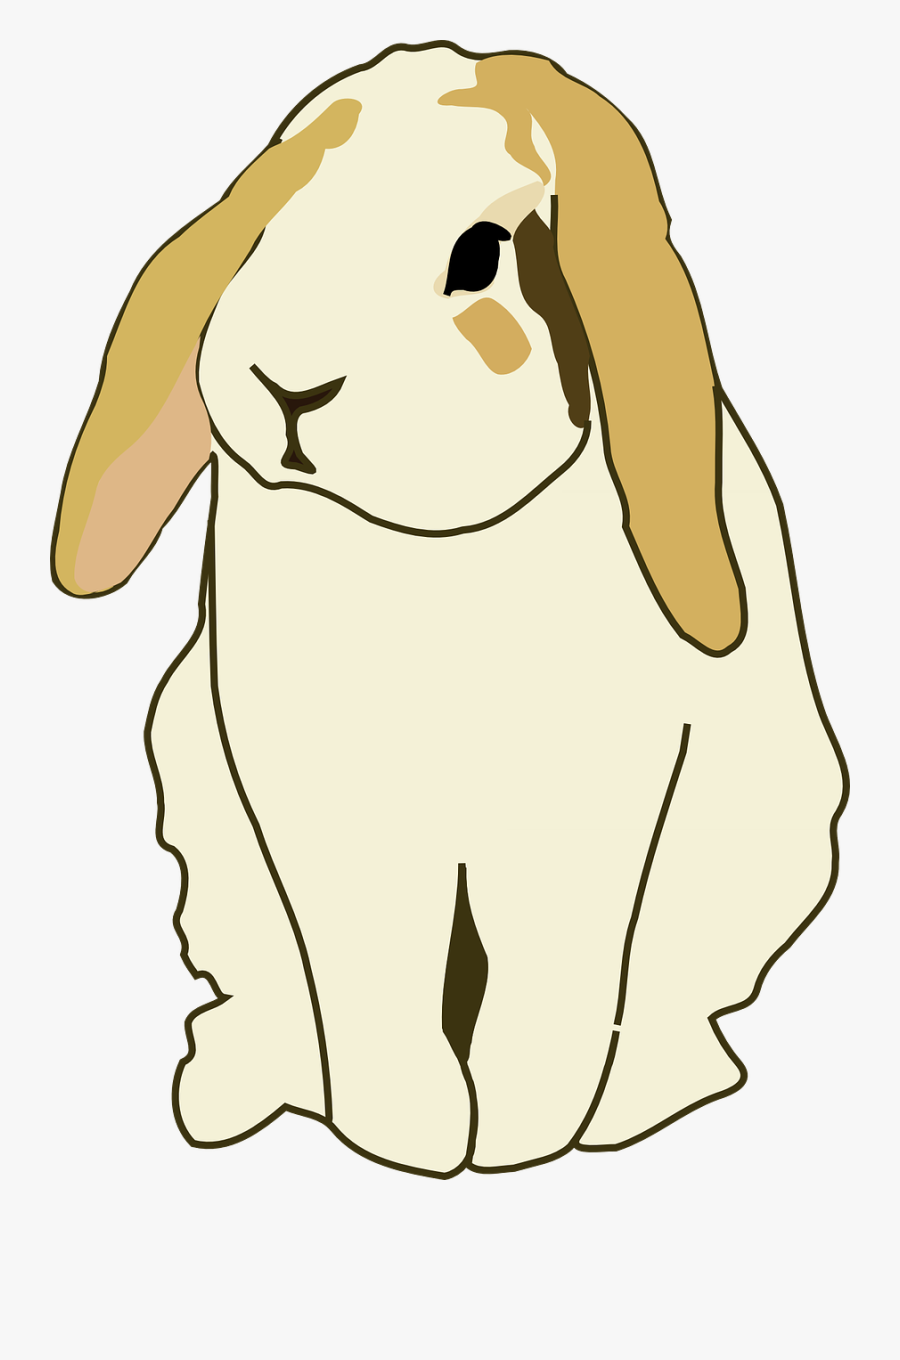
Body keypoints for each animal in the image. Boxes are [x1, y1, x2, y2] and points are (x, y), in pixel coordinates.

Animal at [51, 41, 847, 1177]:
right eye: (277, 221)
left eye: (482, 255)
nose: (290, 389)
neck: (430, 553)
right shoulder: (317, 798)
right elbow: (365, 969)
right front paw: (411, 1144)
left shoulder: (582, 805)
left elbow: (551, 974)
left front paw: (515, 1142)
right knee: (267, 994)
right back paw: (224, 1093)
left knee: (677, 1008)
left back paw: (633, 1107)